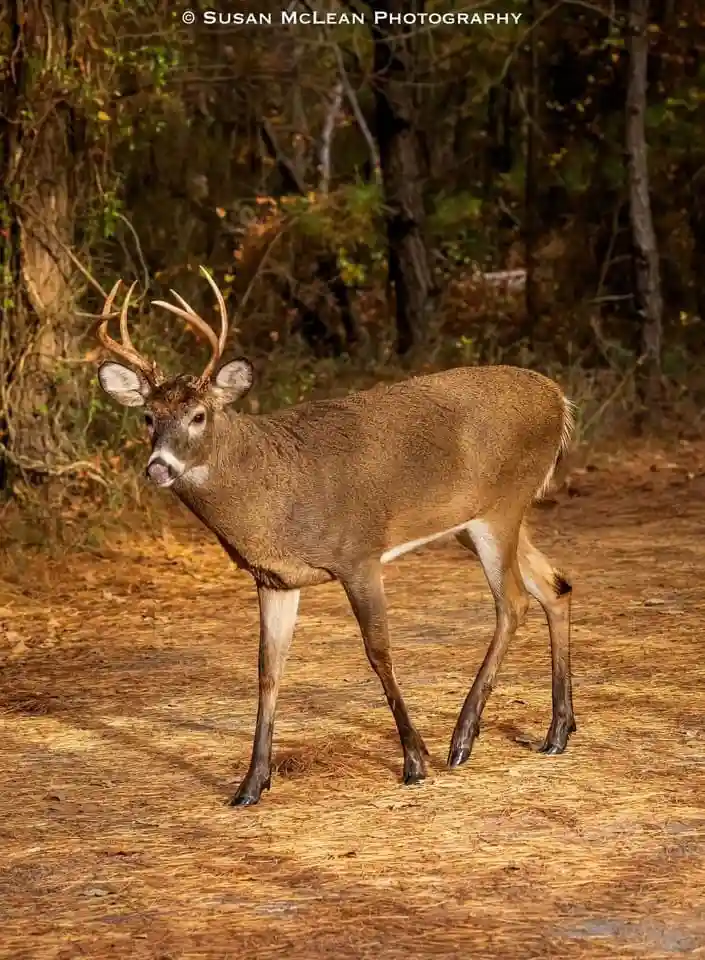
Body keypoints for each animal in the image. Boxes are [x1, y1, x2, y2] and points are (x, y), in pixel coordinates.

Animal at [95, 267, 577, 807]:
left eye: (198, 415)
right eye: (148, 418)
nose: (158, 467)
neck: (272, 489)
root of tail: (559, 399)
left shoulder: (359, 553)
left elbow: (378, 651)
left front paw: (414, 761)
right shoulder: (276, 579)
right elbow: (268, 670)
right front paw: (251, 784)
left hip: (501, 508)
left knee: (513, 601)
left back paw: (462, 739)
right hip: (477, 523)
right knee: (555, 586)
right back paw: (557, 732)